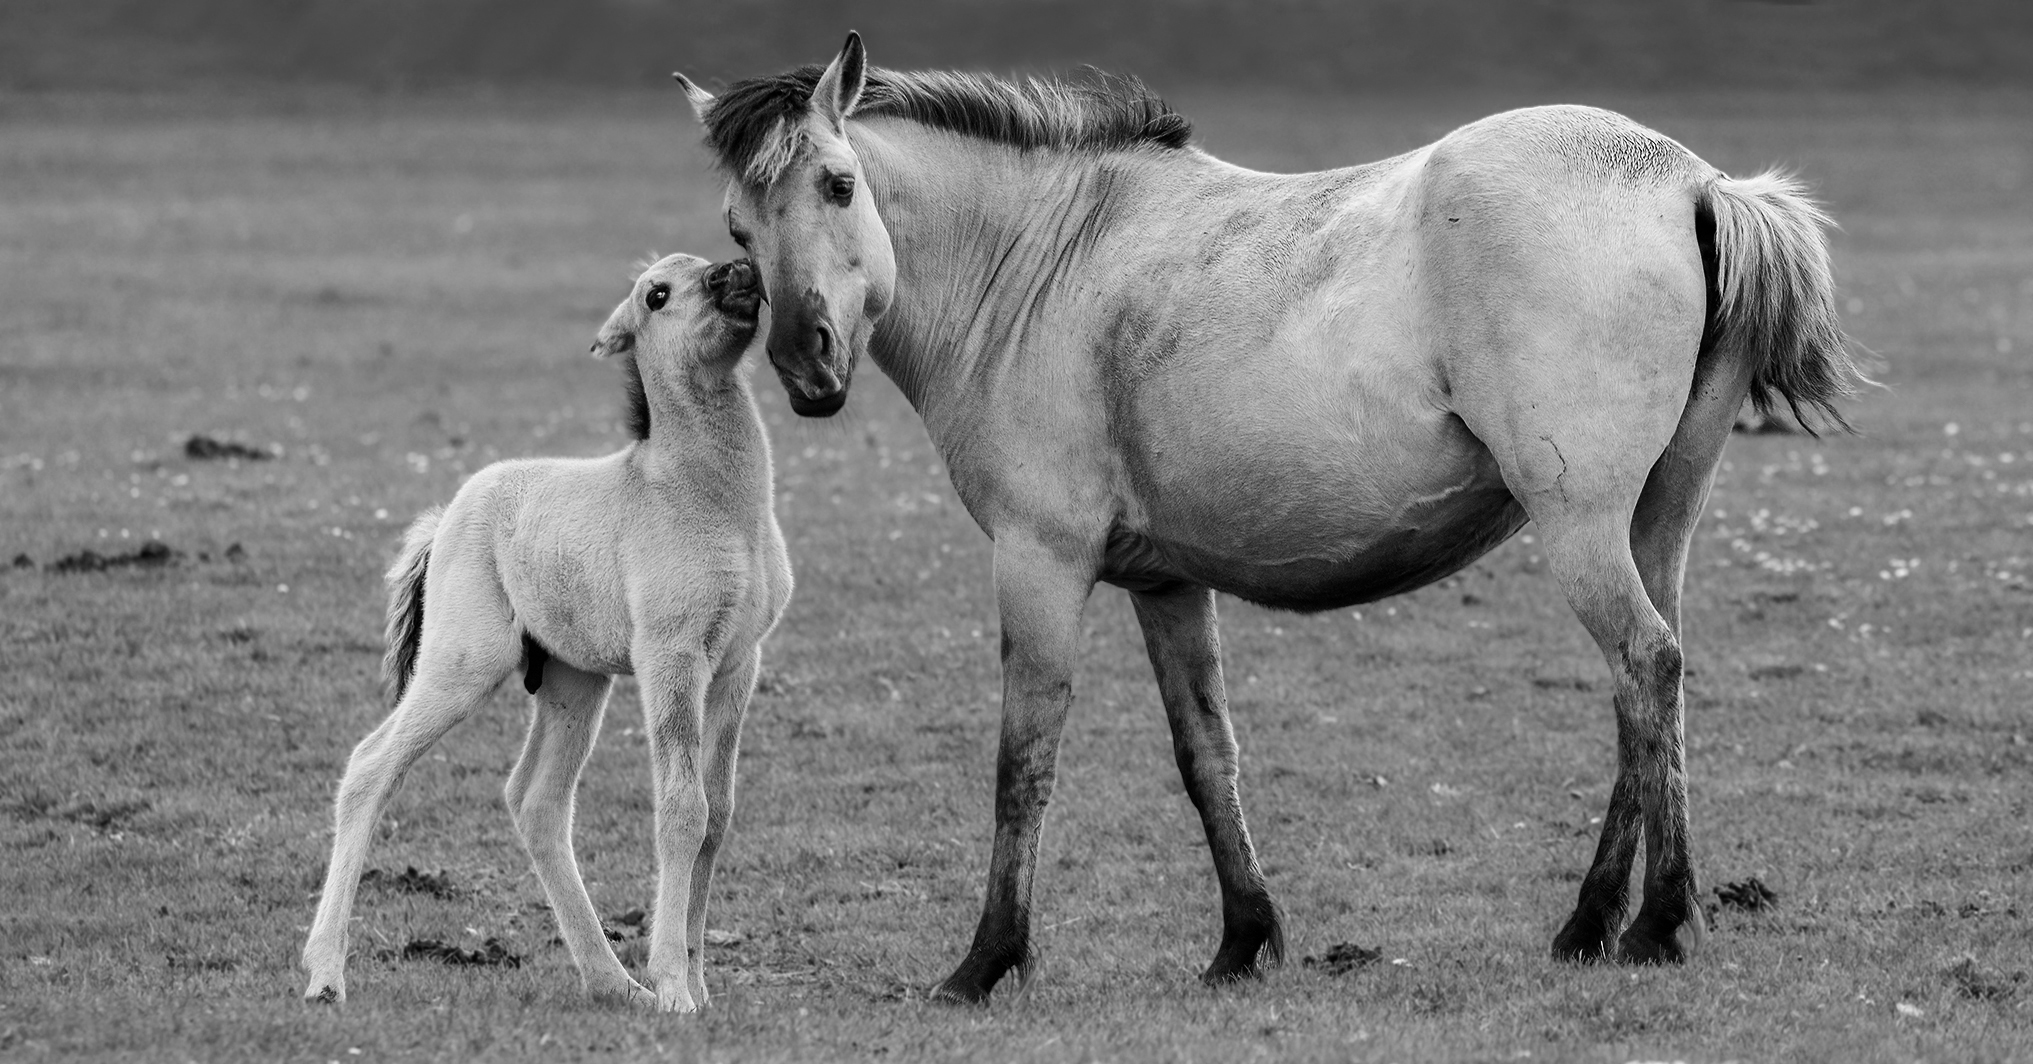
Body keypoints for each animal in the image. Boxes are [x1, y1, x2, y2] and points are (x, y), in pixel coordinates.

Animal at [300, 254, 792, 1013]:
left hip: (572, 679)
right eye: (656, 294)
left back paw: (612, 981)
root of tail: (445, 518)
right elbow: (681, 809)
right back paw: (325, 973)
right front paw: (675, 988)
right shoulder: (672, 656)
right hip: (464, 661)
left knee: (536, 801)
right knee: (371, 766)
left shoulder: (739, 662)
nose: (738, 272)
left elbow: (718, 815)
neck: (714, 502)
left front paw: (697, 981)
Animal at [679, 29, 1862, 1005]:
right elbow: (1207, 752)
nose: (804, 362)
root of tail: (1688, 181)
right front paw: (1244, 940)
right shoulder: (1164, 582)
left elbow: (1023, 761)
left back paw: (1657, 922)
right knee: (1646, 687)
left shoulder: (1040, 564)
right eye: (739, 224)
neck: (1041, 265)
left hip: (1579, 526)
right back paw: (1589, 924)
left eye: (838, 184)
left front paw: (986, 961)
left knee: (1643, 666)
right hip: (1653, 521)